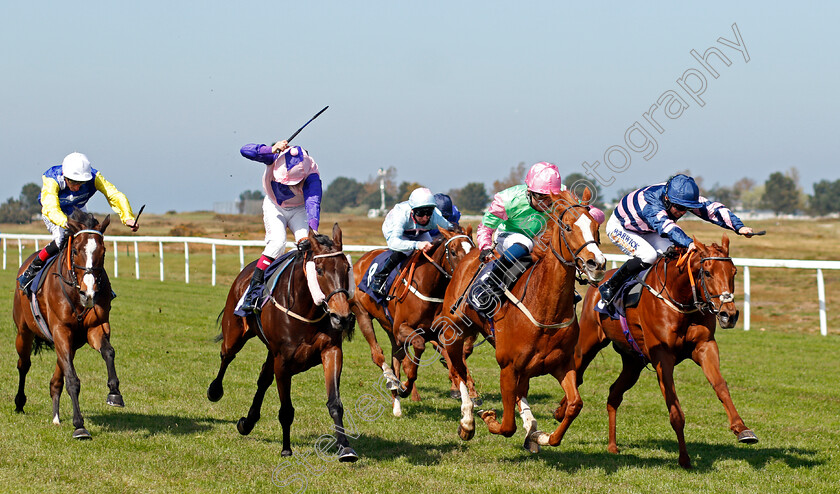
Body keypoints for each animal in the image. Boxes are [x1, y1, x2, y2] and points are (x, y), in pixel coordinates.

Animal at [11, 211, 123, 440]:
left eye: (103, 251)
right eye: (77, 250)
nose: (89, 293)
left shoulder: (95, 327)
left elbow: (109, 351)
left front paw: (114, 392)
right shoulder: (60, 330)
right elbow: (72, 379)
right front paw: (79, 425)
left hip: (71, 343)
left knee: (57, 379)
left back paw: (55, 415)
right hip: (24, 332)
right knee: (23, 364)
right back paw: (19, 402)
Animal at [208, 226, 360, 462]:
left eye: (347, 268)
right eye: (319, 270)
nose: (342, 317)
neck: (307, 310)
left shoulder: (331, 351)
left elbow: (335, 403)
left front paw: (345, 448)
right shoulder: (283, 362)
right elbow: (286, 409)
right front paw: (286, 449)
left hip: (271, 352)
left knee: (263, 378)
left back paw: (247, 423)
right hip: (235, 334)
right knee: (227, 356)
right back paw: (215, 390)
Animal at [352, 228, 476, 416]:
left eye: (473, 249)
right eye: (453, 252)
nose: (467, 275)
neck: (429, 287)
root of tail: (360, 261)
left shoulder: (438, 332)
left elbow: (454, 361)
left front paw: (467, 402)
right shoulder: (403, 329)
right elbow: (418, 347)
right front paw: (406, 387)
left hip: (388, 325)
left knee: (396, 356)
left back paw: (396, 403)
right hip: (363, 314)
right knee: (378, 355)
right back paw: (392, 381)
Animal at [434, 187, 604, 450]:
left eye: (596, 226)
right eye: (567, 227)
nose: (597, 263)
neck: (546, 309)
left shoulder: (562, 364)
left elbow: (574, 404)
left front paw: (541, 435)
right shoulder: (508, 367)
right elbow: (506, 426)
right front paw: (488, 417)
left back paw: (531, 429)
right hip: (455, 332)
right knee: (458, 370)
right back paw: (467, 421)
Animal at [576, 234, 756, 466]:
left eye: (733, 272)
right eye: (707, 272)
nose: (729, 315)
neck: (680, 299)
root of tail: (598, 283)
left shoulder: (705, 346)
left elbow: (720, 385)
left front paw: (742, 429)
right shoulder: (663, 357)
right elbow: (675, 409)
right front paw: (684, 458)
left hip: (633, 362)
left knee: (614, 394)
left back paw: (612, 446)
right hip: (588, 342)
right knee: (576, 375)